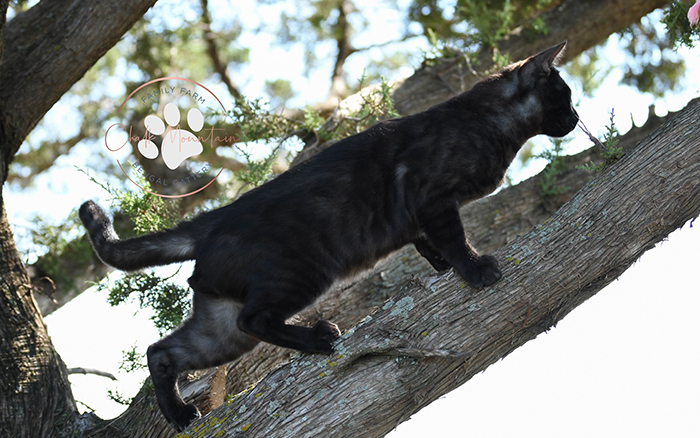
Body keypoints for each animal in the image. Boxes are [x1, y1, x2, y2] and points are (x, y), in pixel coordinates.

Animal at [79, 41, 576, 432]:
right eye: (565, 97)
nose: (575, 117)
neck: (488, 124)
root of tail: (215, 219)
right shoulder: (434, 199)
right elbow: (453, 239)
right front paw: (476, 270)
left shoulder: (421, 218)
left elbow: (432, 246)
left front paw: (446, 269)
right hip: (302, 274)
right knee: (253, 321)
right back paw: (320, 338)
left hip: (219, 324)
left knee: (164, 350)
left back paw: (180, 415)